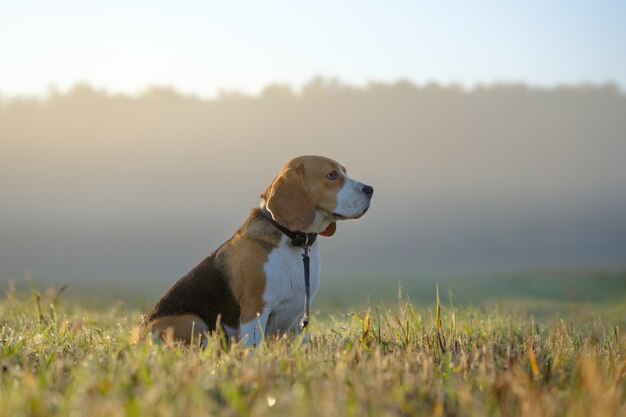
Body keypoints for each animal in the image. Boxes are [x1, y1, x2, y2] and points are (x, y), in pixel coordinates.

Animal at [143, 155, 370, 344]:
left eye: (344, 171)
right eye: (331, 175)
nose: (370, 189)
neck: (295, 241)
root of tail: (138, 335)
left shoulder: (299, 317)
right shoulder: (255, 311)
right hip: (193, 322)